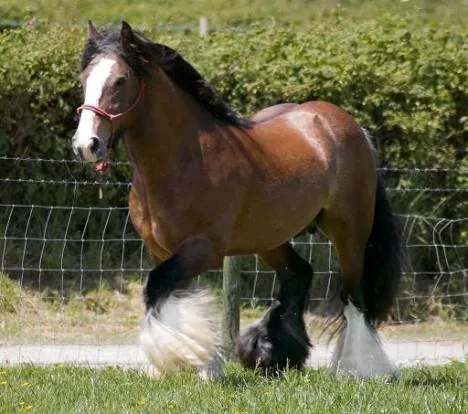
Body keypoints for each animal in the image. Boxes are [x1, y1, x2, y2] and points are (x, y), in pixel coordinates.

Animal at [72, 21, 402, 378]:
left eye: (120, 80)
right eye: (84, 79)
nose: (86, 145)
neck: (186, 159)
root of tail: (350, 127)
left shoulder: (205, 247)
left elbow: (156, 286)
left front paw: (190, 364)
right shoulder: (162, 250)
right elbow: (174, 296)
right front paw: (185, 365)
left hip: (349, 231)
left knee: (354, 297)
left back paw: (358, 368)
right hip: (270, 236)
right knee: (299, 274)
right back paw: (272, 353)